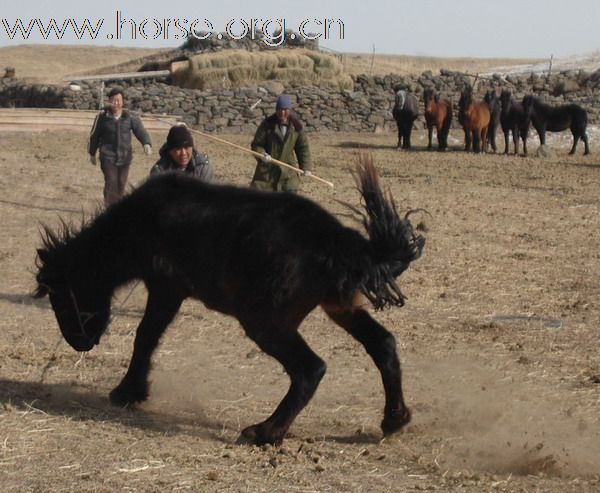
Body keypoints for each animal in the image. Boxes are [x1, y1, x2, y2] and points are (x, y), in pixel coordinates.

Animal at [34, 158, 426, 446]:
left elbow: (144, 337)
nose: (79, 342)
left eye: (59, 297)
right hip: (340, 308)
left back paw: (265, 432)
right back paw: (394, 419)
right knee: (383, 345)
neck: (142, 221)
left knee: (310, 368)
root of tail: (337, 240)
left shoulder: (166, 289)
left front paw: (127, 391)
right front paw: (133, 390)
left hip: (264, 321)